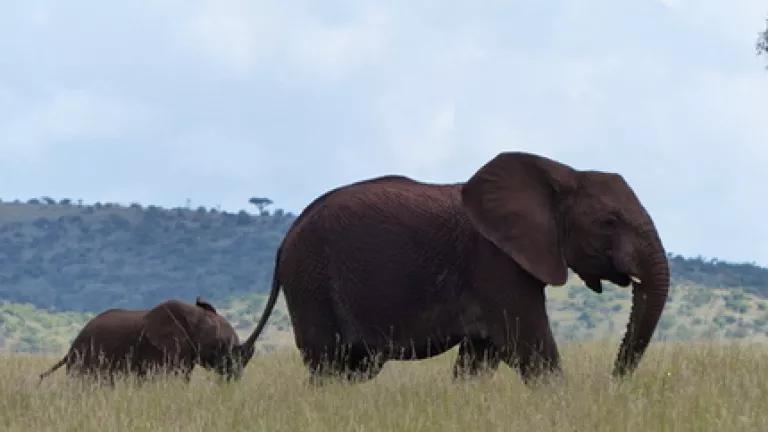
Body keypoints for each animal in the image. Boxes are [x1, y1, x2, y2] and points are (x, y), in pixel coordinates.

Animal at [238, 152, 670, 383]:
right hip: (311, 280)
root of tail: (285, 240)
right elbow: (530, 346)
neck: (559, 172)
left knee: (352, 368)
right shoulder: (495, 262)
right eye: (609, 222)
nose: (613, 382)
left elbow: (478, 359)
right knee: (328, 365)